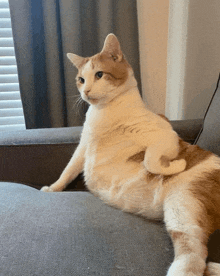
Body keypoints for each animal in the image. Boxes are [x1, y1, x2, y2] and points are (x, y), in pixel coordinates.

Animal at [40, 33, 220, 274]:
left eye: (99, 75)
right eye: (81, 79)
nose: (85, 91)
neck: (105, 112)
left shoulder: (166, 134)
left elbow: (152, 160)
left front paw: (174, 165)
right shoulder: (83, 146)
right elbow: (68, 171)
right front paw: (53, 188)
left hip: (184, 207)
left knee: (193, 258)